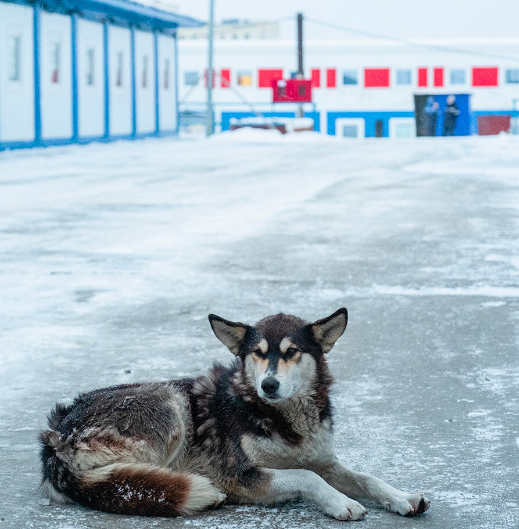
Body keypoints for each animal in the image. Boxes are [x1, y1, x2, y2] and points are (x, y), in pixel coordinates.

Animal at [39, 308, 430, 516]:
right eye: (257, 353)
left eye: (291, 352)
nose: (268, 385)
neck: (280, 417)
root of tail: (57, 434)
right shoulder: (241, 475)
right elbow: (306, 477)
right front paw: (340, 503)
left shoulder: (323, 459)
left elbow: (365, 477)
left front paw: (402, 498)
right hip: (170, 403)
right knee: (120, 479)